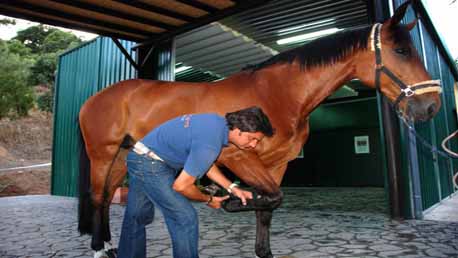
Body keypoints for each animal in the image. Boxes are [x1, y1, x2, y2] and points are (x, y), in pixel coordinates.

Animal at [78, 1, 440, 256]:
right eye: (401, 50)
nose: (431, 106)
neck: (276, 94)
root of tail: (94, 98)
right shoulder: (239, 157)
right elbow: (269, 198)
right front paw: (230, 200)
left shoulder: (276, 164)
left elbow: (269, 205)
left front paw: (261, 247)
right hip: (103, 155)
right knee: (97, 196)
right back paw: (98, 247)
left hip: (123, 156)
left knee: (107, 196)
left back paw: (108, 245)